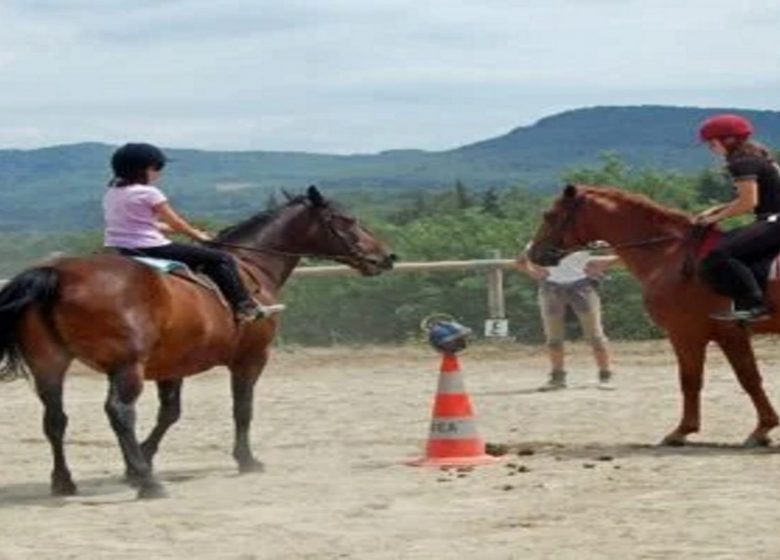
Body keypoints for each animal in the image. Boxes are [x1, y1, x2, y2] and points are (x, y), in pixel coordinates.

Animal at [0, 187, 394, 498]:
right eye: (346, 219)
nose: (386, 257)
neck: (250, 265)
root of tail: (56, 273)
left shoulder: (171, 366)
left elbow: (170, 413)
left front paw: (136, 463)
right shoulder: (251, 358)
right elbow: (242, 409)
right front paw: (246, 460)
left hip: (50, 364)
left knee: (55, 418)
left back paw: (65, 482)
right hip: (126, 367)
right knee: (119, 412)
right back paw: (150, 485)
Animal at [532, 186, 780, 448]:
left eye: (549, 215)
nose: (533, 253)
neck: (670, 256)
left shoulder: (701, 333)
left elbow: (723, 379)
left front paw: (685, 430)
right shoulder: (708, 334)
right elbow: (713, 379)